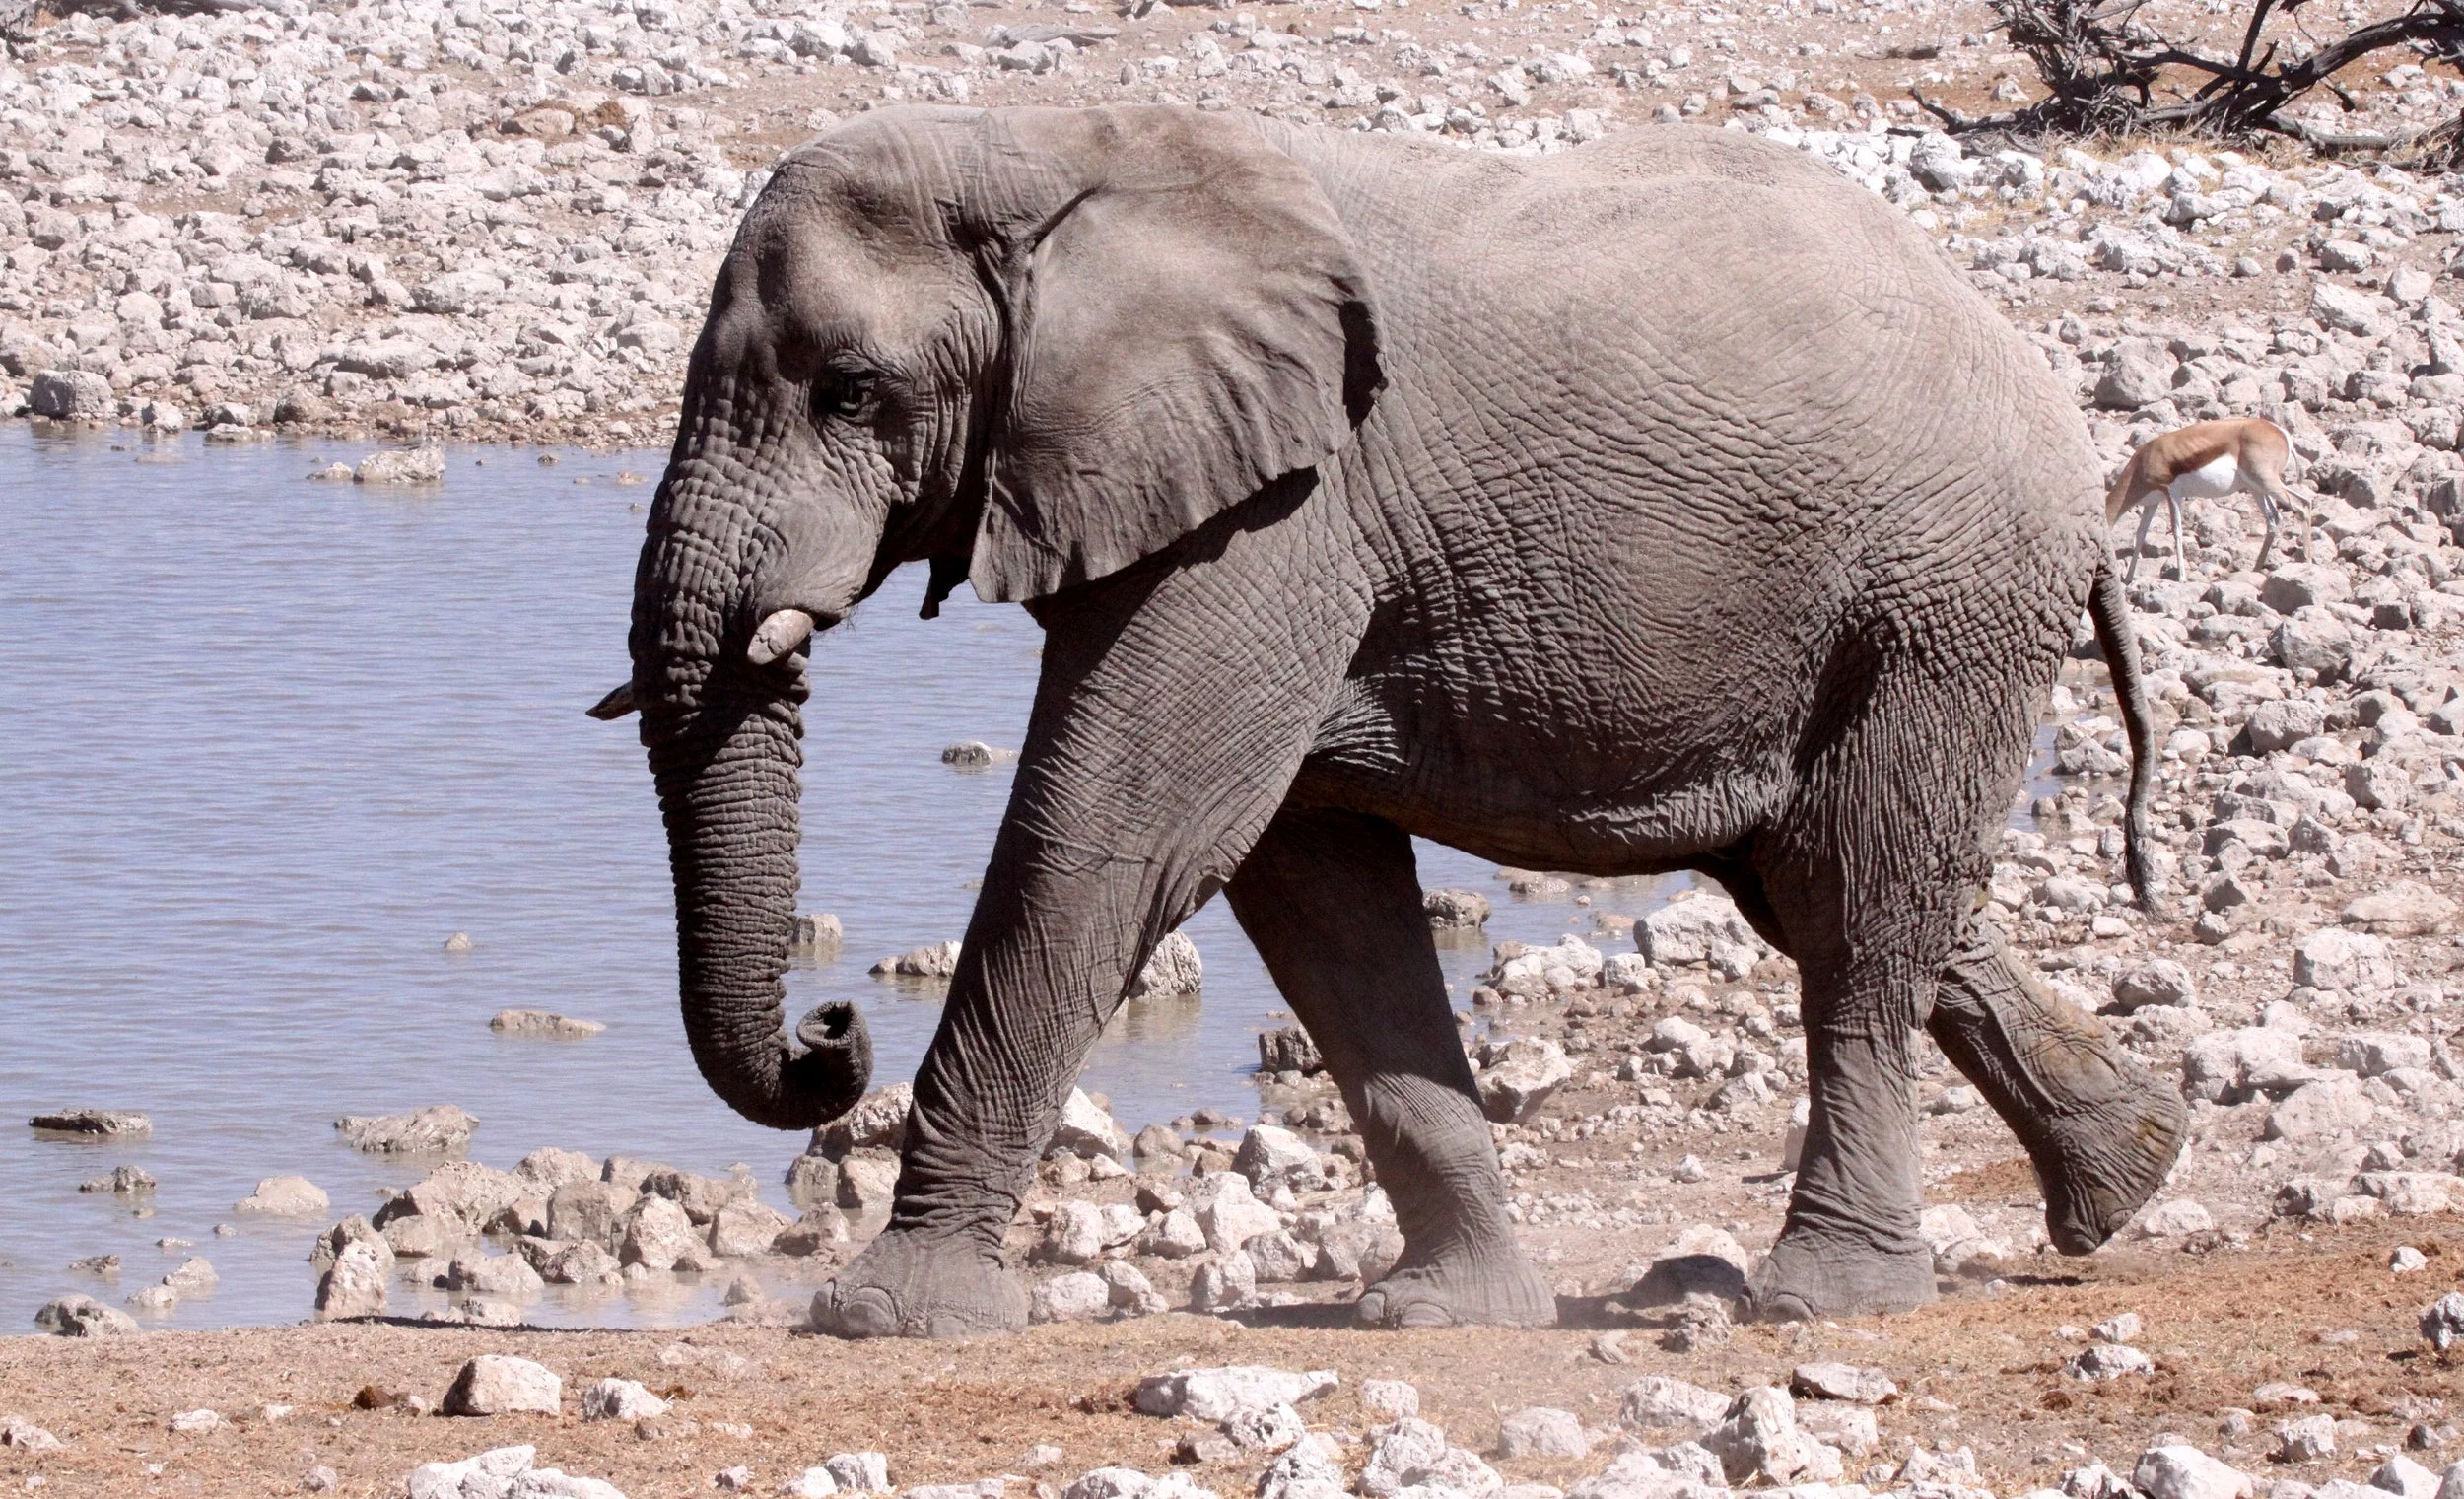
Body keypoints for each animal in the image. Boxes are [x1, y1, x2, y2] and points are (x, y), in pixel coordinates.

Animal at [590, 103, 2189, 1337]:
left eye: (853, 393)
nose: (830, 1025)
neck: (1042, 144)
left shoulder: (1282, 511)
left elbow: (1117, 835)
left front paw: (889, 1317)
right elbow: (1312, 884)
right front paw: (1451, 1315)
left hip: (1939, 602)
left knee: (1858, 907)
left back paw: (1833, 1297)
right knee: (1829, 884)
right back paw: (2133, 1175)